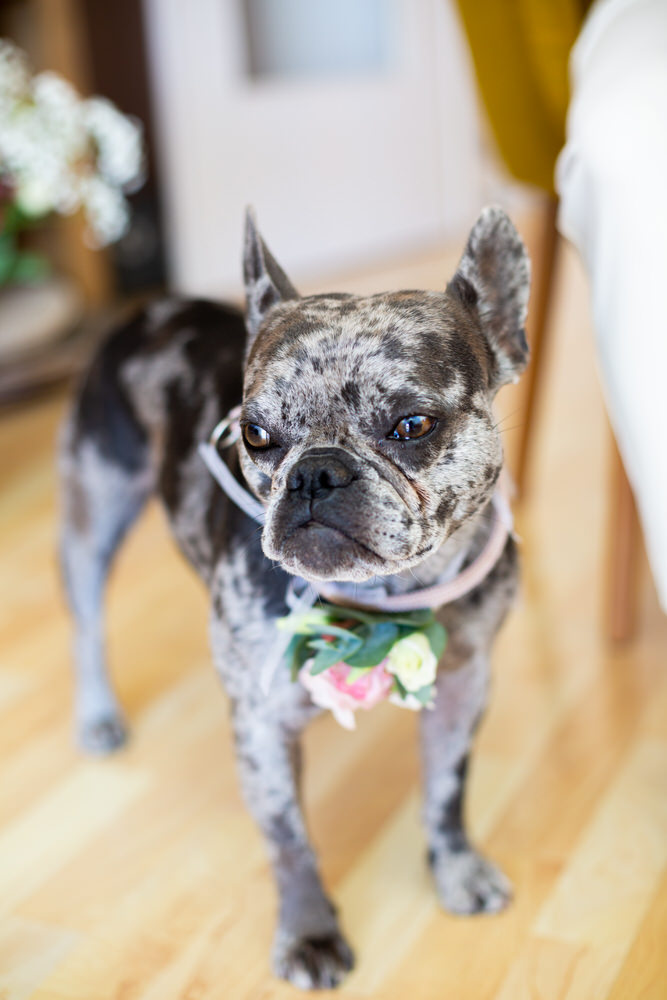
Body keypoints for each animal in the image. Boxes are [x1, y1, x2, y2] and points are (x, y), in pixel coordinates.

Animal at [62, 207, 532, 988]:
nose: (316, 473)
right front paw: (310, 931)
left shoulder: (464, 687)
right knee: (88, 622)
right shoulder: (261, 724)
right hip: (93, 511)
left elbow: (445, 791)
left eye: (413, 426)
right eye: (255, 434)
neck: (384, 599)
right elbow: (287, 837)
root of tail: (151, 309)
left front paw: (456, 869)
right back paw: (98, 713)